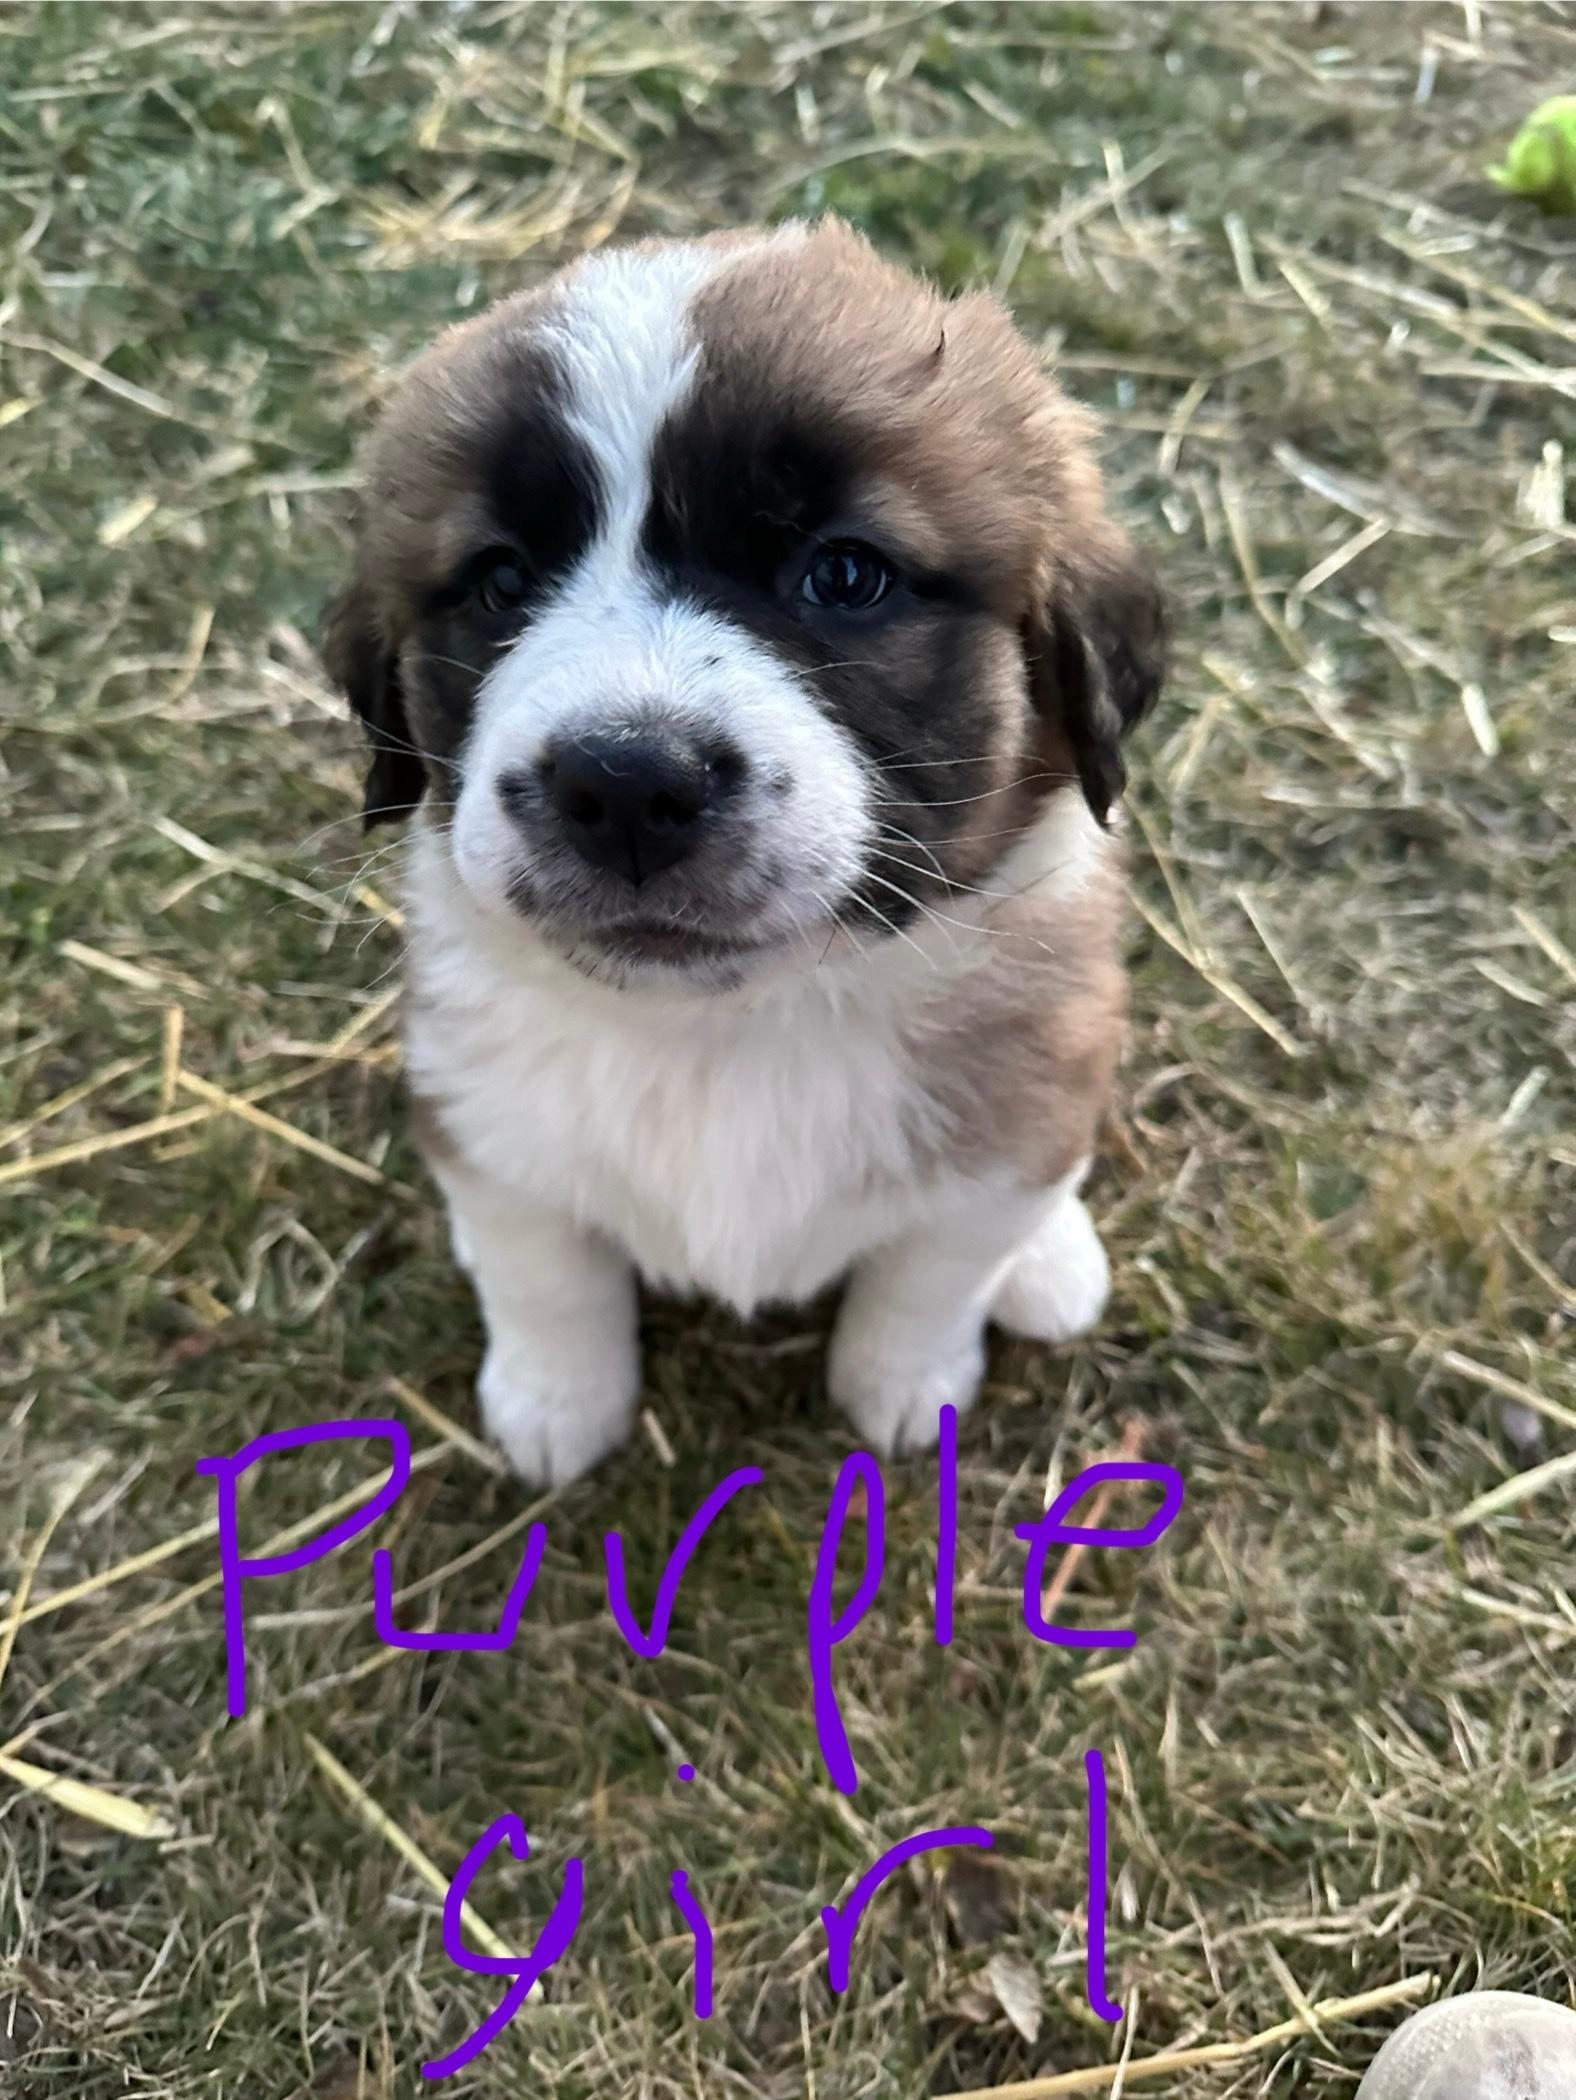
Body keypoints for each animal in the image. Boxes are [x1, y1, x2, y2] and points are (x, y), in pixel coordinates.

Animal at [323, 221, 1159, 1486]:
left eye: (846, 575)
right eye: (502, 580)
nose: (624, 784)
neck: (730, 1030)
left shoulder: (1013, 1134)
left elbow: (929, 1279)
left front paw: (905, 1390)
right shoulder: (486, 1125)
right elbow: (541, 1272)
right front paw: (554, 1405)